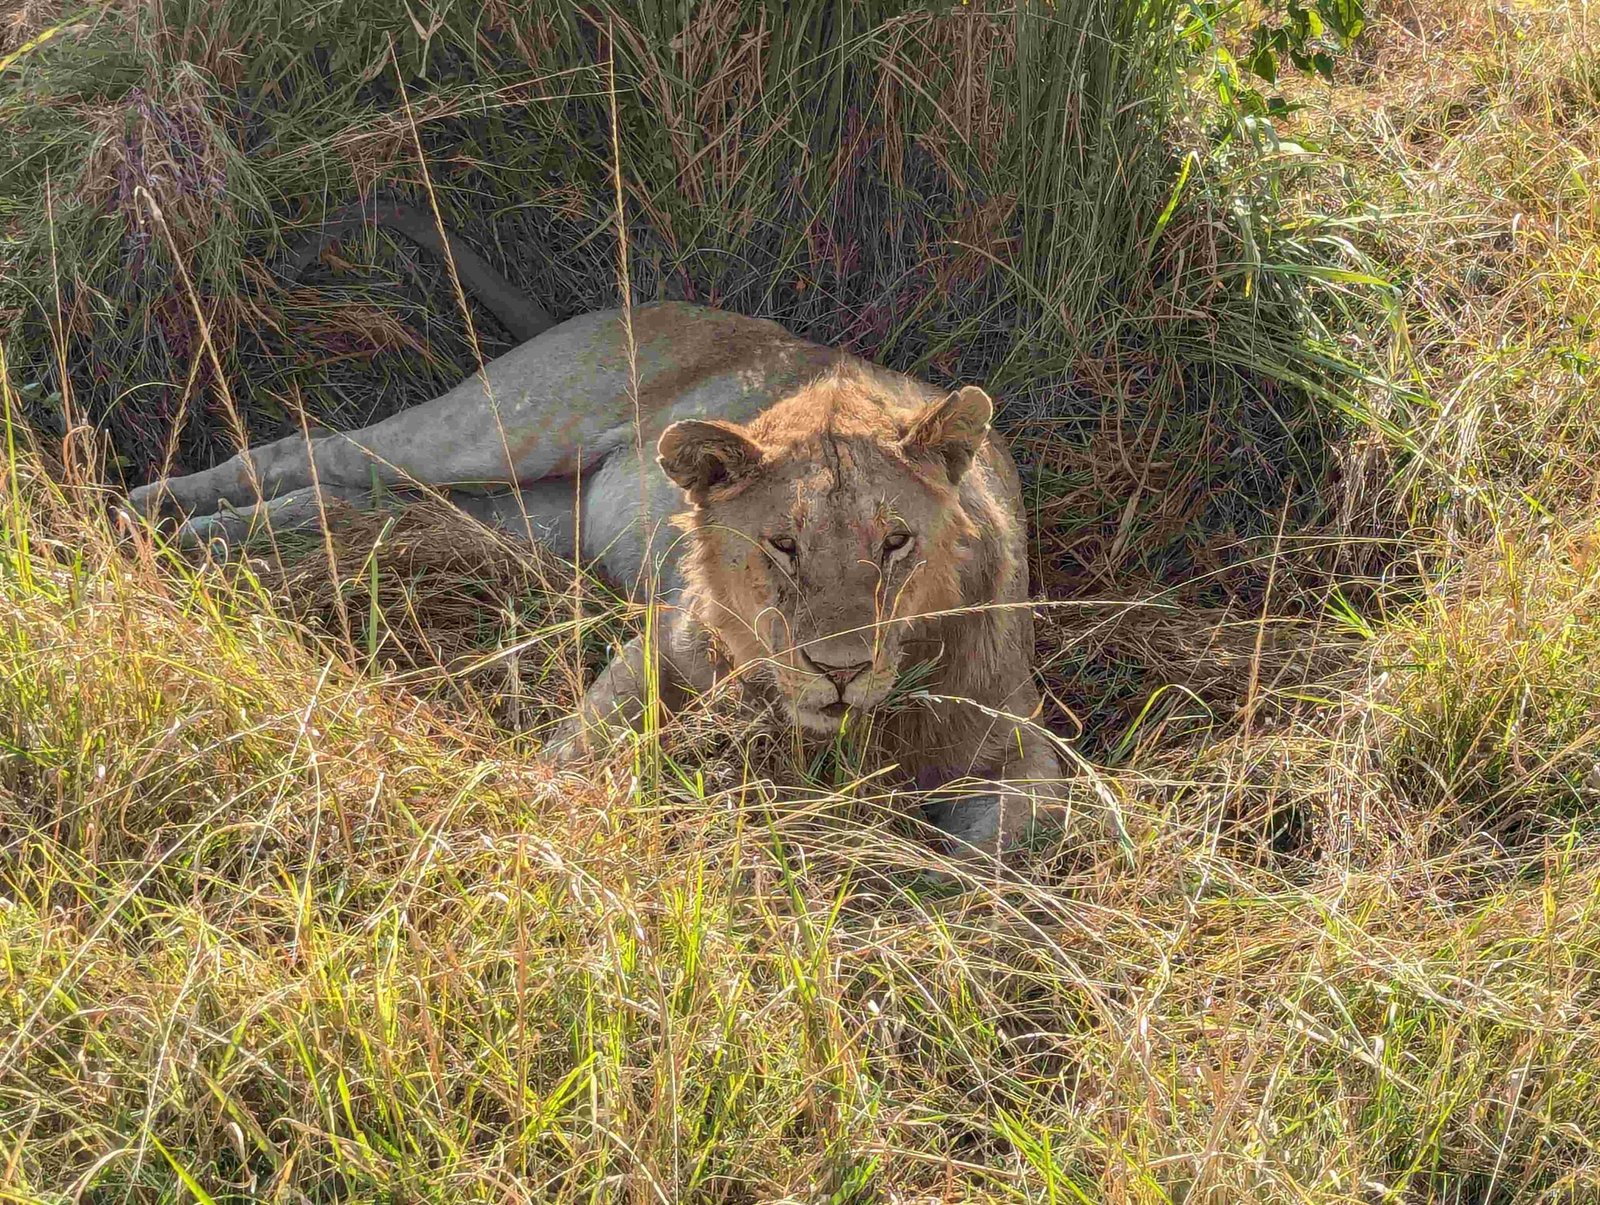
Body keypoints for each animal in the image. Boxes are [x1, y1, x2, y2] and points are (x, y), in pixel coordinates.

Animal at [127, 203, 1066, 857]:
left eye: (895, 543)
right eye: (782, 545)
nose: (838, 671)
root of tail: (628, 302)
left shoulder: (1024, 742)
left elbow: (1016, 841)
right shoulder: (671, 637)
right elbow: (583, 744)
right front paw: (527, 811)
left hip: (532, 514)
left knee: (361, 504)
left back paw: (207, 539)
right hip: (505, 424)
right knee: (319, 449)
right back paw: (149, 505)